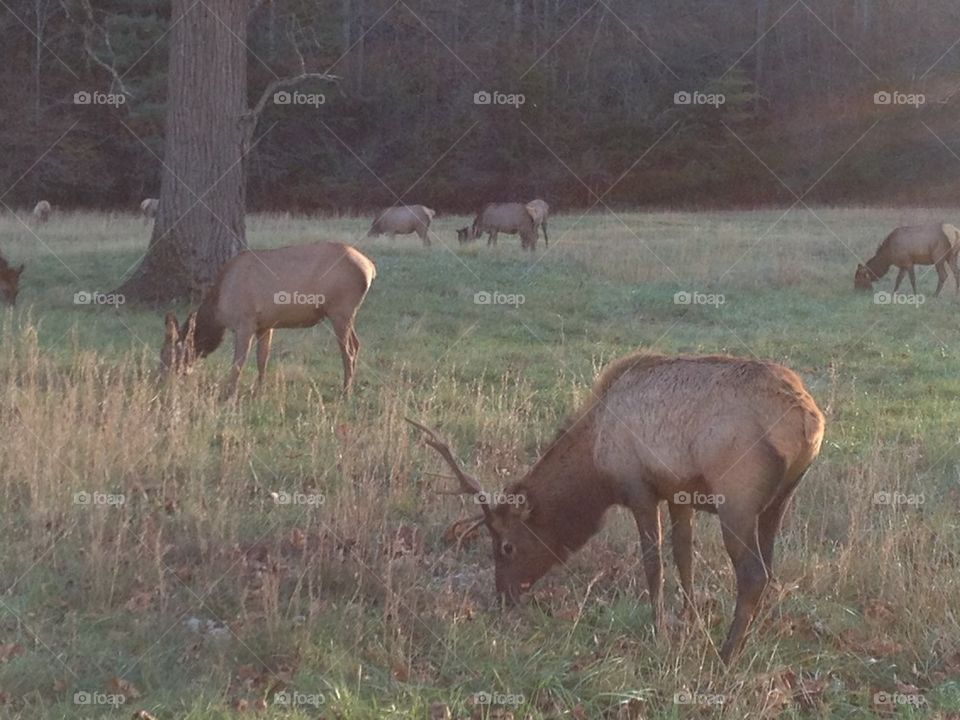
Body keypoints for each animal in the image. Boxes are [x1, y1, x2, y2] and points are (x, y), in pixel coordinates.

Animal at [161, 241, 376, 397]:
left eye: (166, 355)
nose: (160, 381)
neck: (218, 311)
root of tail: (370, 268)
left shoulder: (245, 322)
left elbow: (238, 362)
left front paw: (230, 394)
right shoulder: (265, 325)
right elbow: (262, 359)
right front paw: (259, 390)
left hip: (340, 311)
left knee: (348, 351)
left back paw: (346, 392)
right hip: (346, 314)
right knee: (357, 344)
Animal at [407, 352, 825, 664]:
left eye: (506, 546)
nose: (503, 597)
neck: (596, 464)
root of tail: (810, 420)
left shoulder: (639, 488)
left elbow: (653, 565)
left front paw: (660, 633)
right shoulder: (679, 493)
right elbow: (684, 559)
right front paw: (690, 624)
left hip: (736, 497)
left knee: (752, 573)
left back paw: (726, 656)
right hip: (779, 500)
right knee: (768, 568)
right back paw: (748, 643)